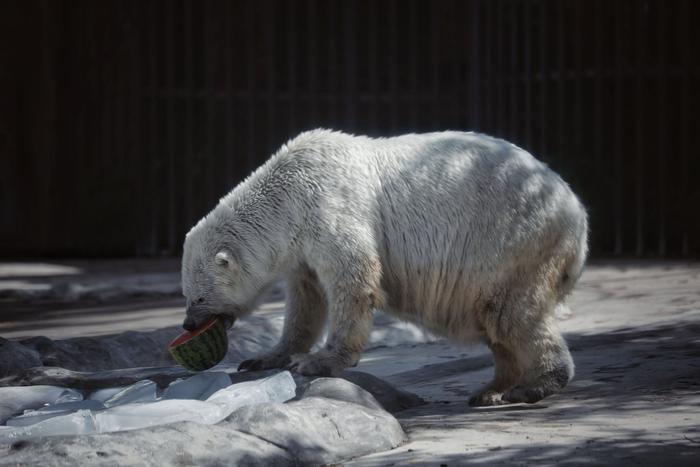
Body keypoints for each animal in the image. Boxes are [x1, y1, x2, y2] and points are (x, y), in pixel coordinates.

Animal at [180, 131, 584, 406]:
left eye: (197, 297)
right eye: (187, 296)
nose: (187, 324)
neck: (287, 197)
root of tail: (576, 210)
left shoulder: (328, 207)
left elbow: (353, 277)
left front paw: (318, 362)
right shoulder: (302, 249)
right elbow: (305, 302)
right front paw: (264, 358)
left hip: (513, 238)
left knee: (510, 311)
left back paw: (534, 385)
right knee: (496, 322)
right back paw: (490, 390)